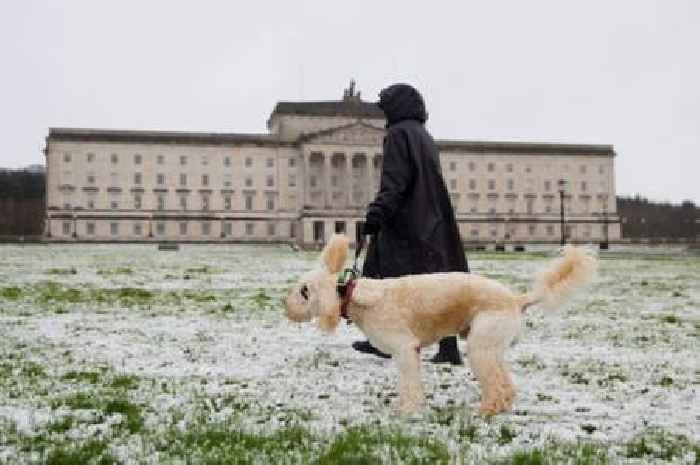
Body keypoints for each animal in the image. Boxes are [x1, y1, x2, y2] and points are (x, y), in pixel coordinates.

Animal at [284, 234, 596, 416]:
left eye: (304, 291)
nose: (284, 305)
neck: (352, 294)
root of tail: (516, 299)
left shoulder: (405, 349)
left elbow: (409, 383)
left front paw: (408, 411)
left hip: (481, 347)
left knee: (497, 383)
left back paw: (487, 410)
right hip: (490, 346)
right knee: (505, 382)